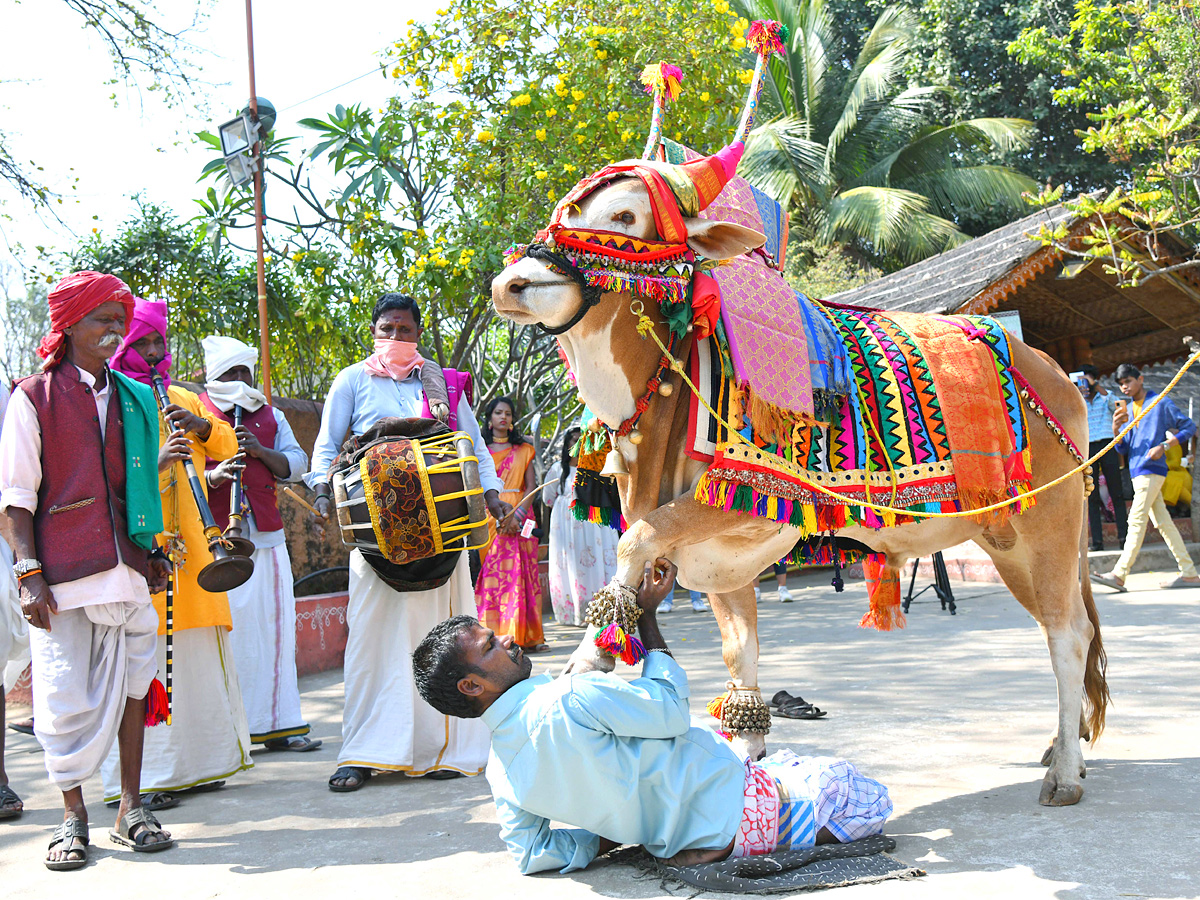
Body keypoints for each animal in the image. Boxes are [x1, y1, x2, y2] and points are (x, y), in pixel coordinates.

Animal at [489, 24, 1104, 806]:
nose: (513, 282)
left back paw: (1067, 772)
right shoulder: (725, 562)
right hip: (1009, 541)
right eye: (566, 210)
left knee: (1068, 636)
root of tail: (1053, 373)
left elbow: (635, 544)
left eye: (624, 217)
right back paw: (1060, 744)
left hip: (1049, 526)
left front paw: (589, 661)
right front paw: (748, 760)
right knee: (1068, 631)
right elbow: (738, 654)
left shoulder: (744, 502)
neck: (662, 387)